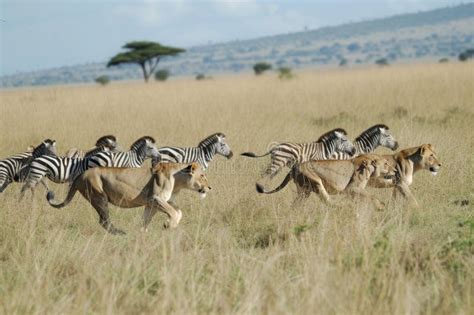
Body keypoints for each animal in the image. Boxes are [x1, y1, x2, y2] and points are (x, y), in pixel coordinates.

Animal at [46, 163, 211, 235]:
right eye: (202, 176)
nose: (210, 188)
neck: (178, 180)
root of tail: (80, 174)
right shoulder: (156, 198)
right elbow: (174, 212)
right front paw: (168, 225)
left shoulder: (153, 203)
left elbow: (174, 212)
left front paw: (142, 233)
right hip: (99, 196)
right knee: (104, 221)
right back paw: (120, 233)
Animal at [258, 154, 394, 210]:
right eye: (386, 164)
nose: (395, 169)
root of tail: (294, 167)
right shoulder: (352, 188)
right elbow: (371, 196)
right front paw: (380, 206)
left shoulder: (361, 187)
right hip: (316, 182)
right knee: (328, 201)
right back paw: (344, 207)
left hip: (304, 191)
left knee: (296, 204)